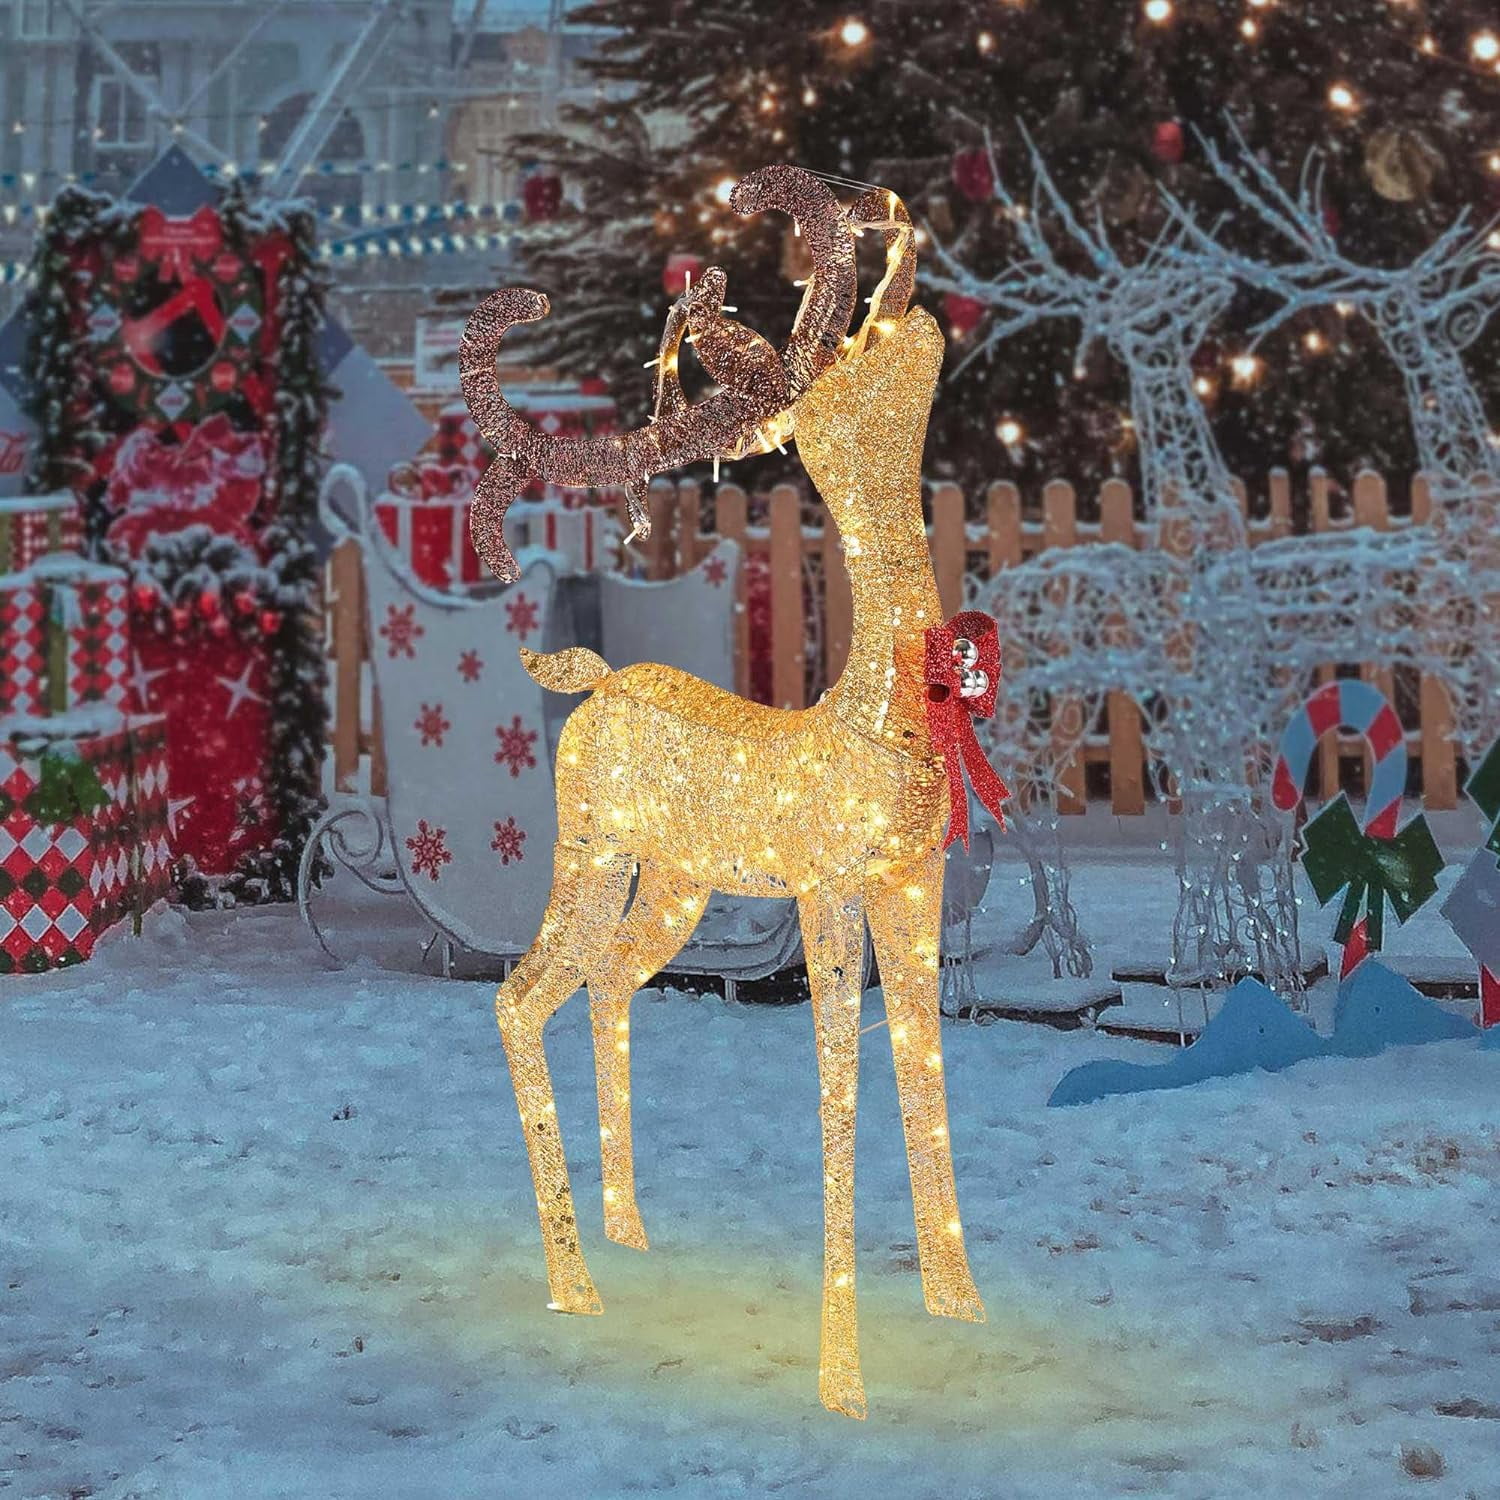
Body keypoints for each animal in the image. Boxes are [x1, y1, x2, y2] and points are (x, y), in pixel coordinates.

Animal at [458, 166, 1002, 1419]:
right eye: (842, 374)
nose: (902, 293)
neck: (880, 718)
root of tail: (595, 685)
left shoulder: (913, 886)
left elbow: (924, 1070)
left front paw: (962, 1308)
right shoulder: (829, 892)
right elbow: (842, 1086)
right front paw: (844, 1381)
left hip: (676, 886)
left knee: (606, 983)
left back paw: (627, 1232)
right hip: (592, 853)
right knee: (519, 996)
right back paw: (574, 1283)